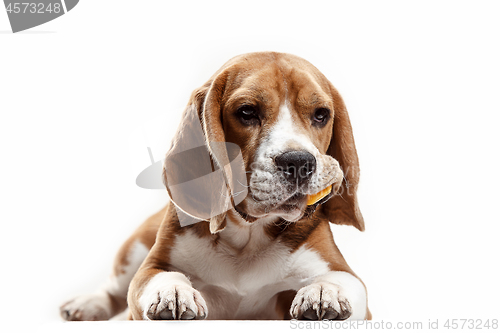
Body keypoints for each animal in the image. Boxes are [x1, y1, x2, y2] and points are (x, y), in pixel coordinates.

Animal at [60, 52, 370, 322]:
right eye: (247, 112)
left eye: (321, 115)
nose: (299, 161)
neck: (247, 235)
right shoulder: (150, 267)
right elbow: (160, 276)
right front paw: (173, 292)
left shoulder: (345, 274)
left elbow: (342, 280)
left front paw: (325, 291)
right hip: (136, 245)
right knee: (113, 289)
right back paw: (87, 304)